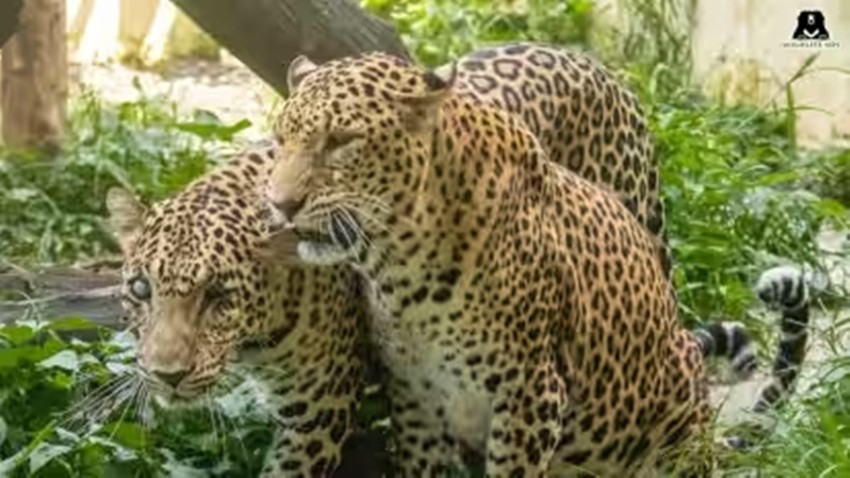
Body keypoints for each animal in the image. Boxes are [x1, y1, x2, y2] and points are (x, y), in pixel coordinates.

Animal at [261, 47, 814, 477]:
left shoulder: (531, 393)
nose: (279, 204)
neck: (398, 264)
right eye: (281, 138)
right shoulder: (416, 396)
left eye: (341, 141)